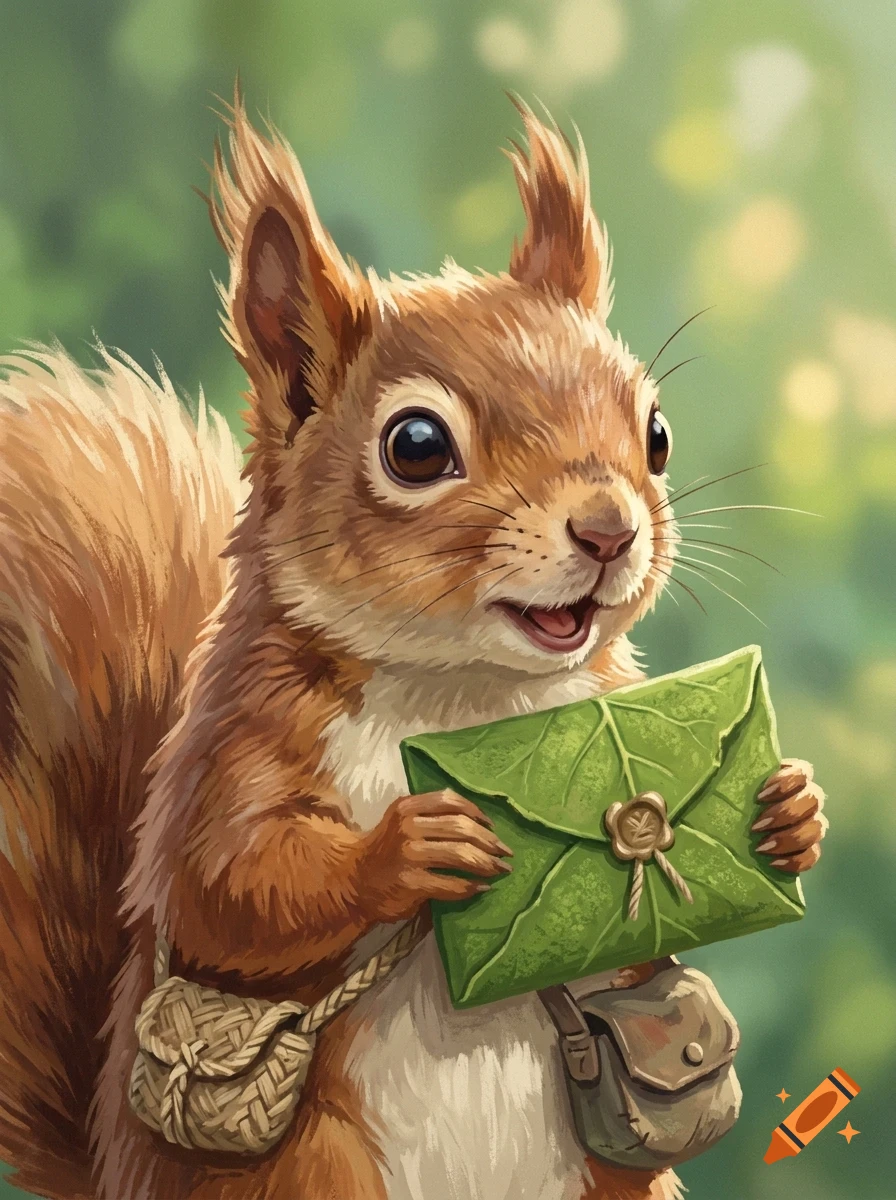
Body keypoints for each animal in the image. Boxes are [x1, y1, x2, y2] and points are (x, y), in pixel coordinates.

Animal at [0, 94, 827, 1200]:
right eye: (416, 446)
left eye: (655, 433)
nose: (609, 530)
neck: (469, 689)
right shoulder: (230, 745)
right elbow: (225, 885)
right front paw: (411, 848)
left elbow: (645, 951)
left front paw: (788, 811)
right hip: (310, 1168)